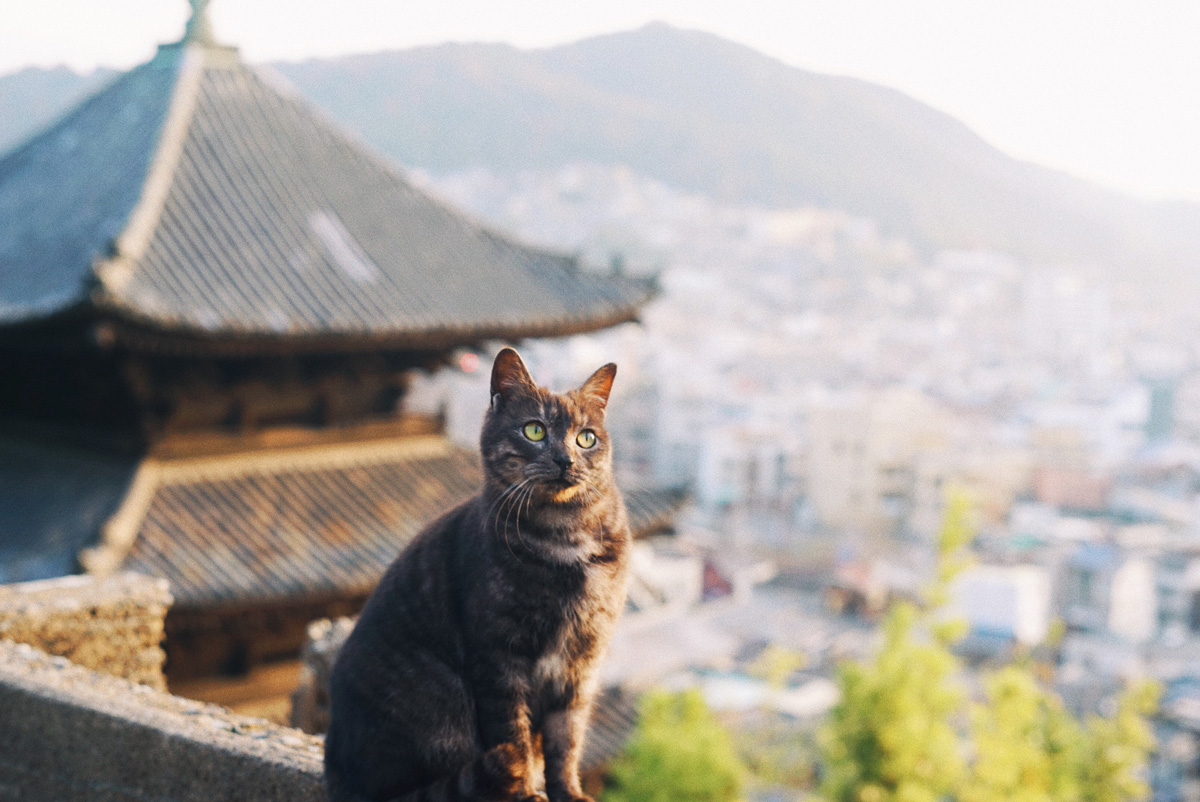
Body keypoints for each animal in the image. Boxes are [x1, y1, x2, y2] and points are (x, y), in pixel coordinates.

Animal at [324, 345, 633, 802]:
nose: (565, 459)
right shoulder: (498, 657)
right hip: (442, 699)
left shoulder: (581, 662)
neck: (565, 537)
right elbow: (514, 734)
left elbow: (567, 739)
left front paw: (568, 793)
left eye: (586, 438)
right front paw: (526, 793)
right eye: (534, 430)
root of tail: (339, 773)